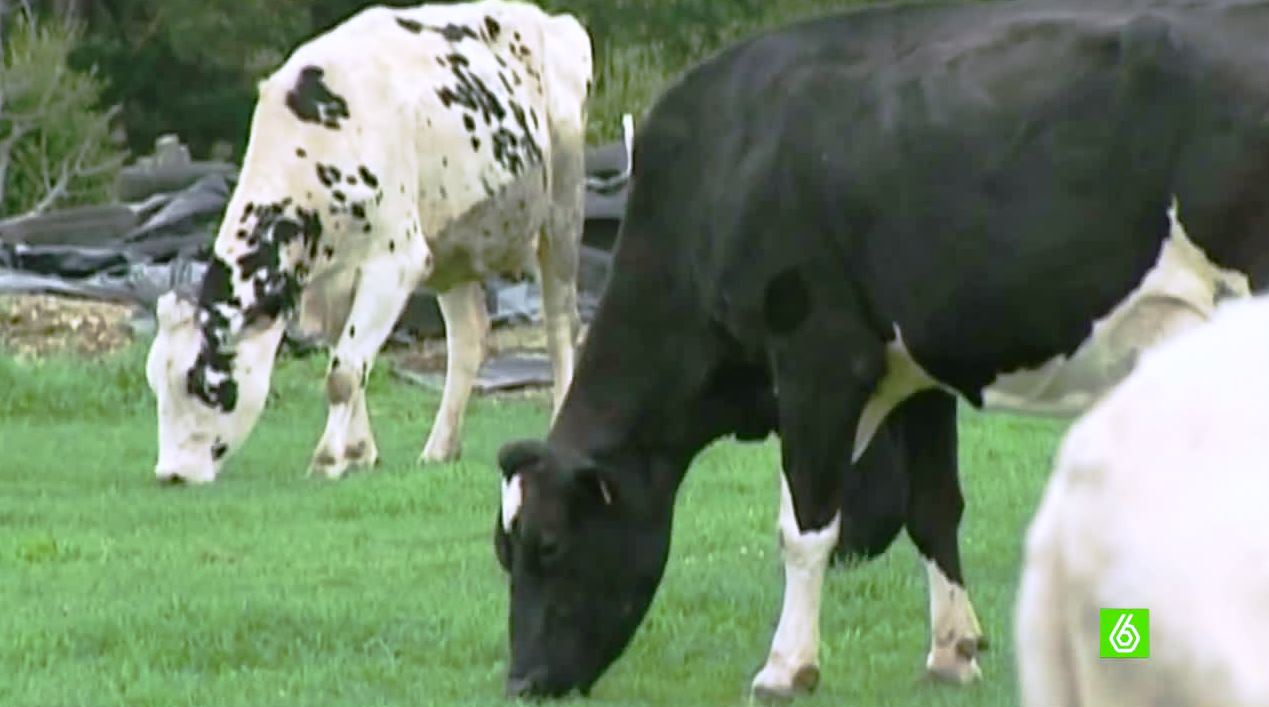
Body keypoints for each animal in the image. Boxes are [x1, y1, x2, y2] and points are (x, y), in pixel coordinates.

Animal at [145, 0, 592, 484]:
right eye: (156, 382)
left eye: (205, 384)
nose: (172, 474)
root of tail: (550, 20)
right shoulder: (332, 279)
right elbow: (349, 361)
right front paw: (360, 453)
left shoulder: (396, 261)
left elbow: (342, 372)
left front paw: (327, 458)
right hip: (453, 243)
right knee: (469, 337)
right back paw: (439, 448)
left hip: (562, 210)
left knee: (560, 325)